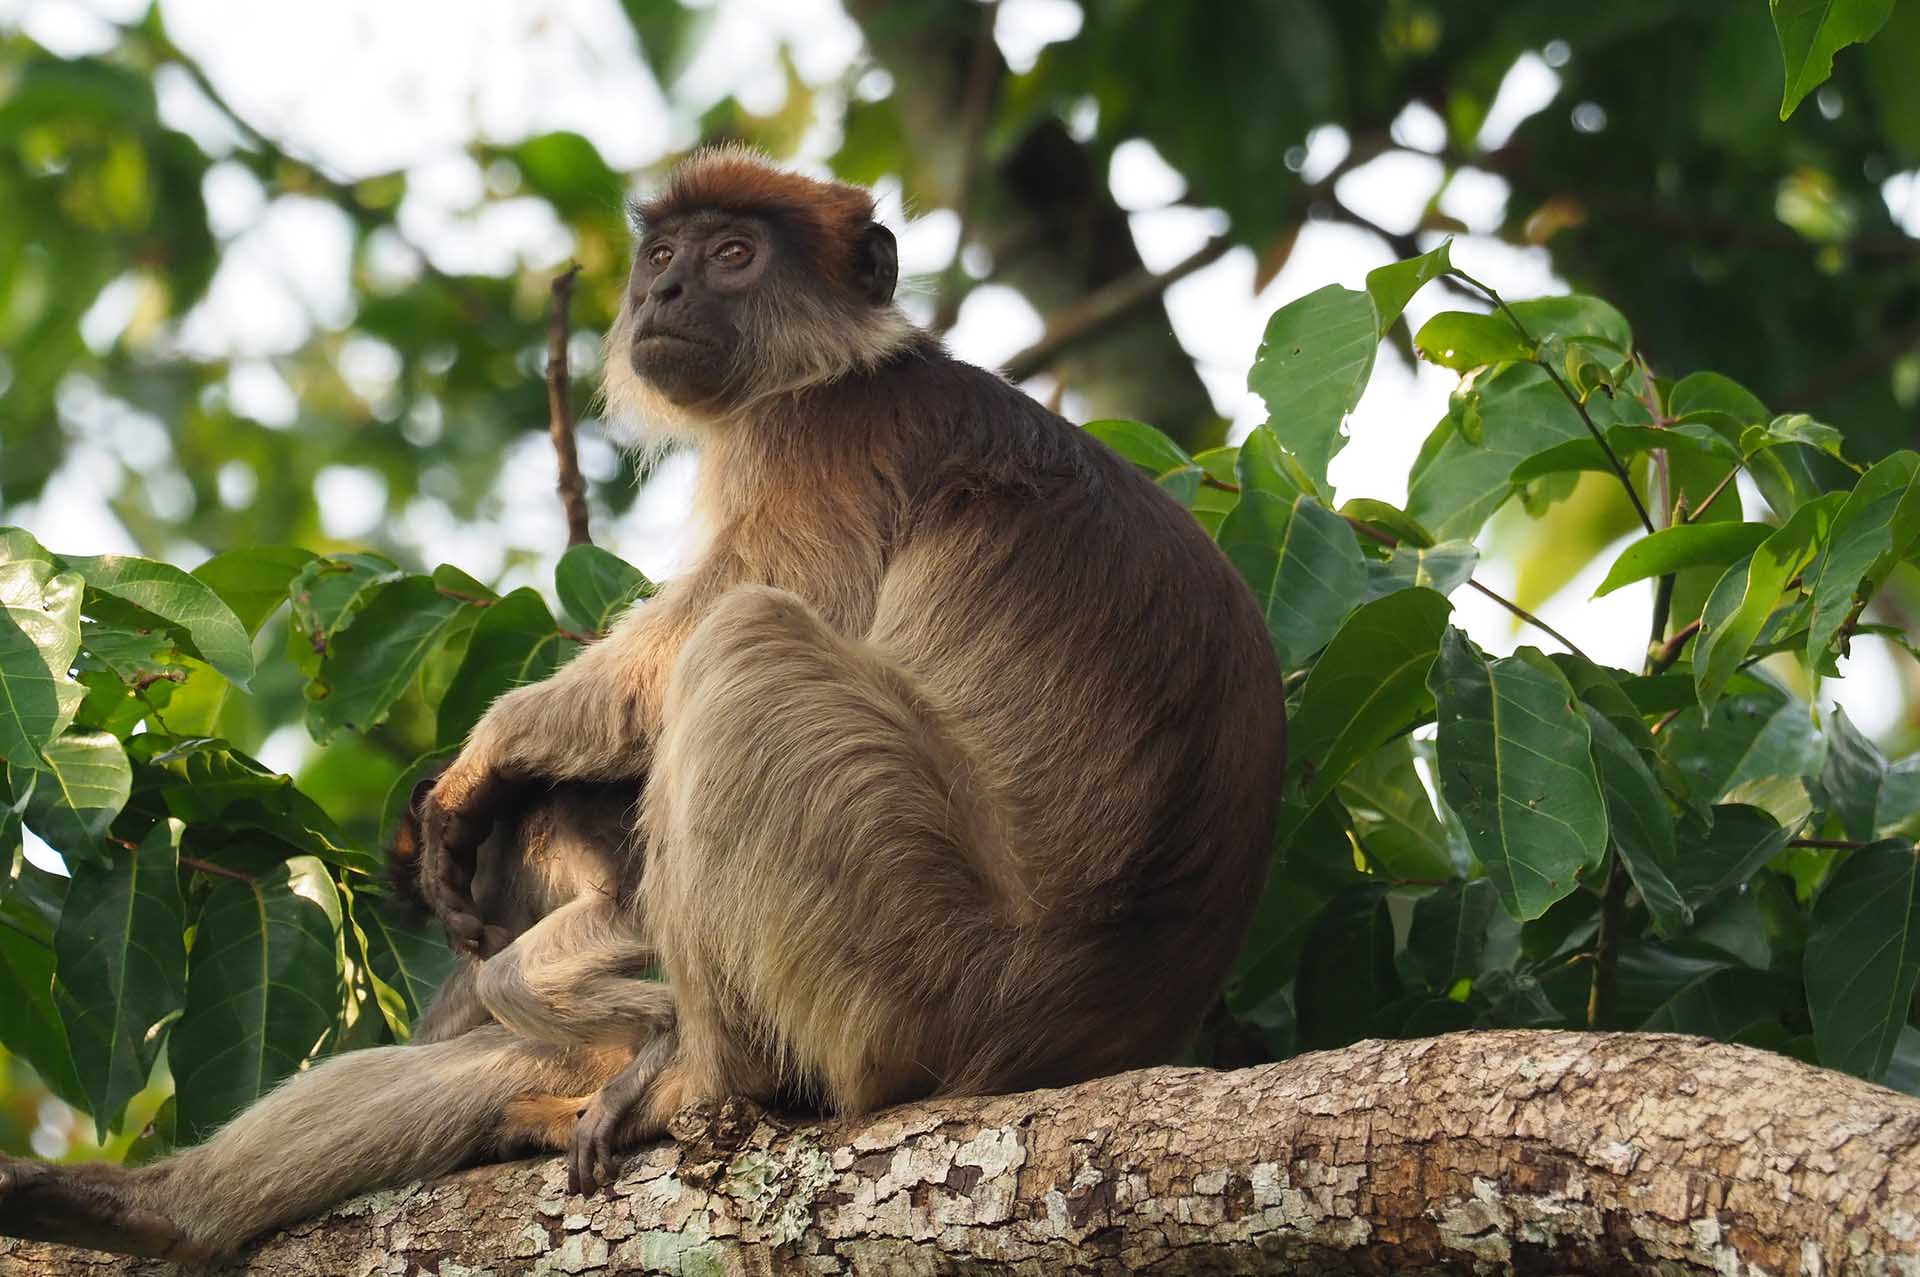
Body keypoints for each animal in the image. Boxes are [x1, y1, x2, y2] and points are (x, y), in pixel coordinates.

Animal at [0, 146, 1285, 1261]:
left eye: (734, 255)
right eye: (662, 254)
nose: (663, 287)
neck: (838, 366)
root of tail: (1073, 1034)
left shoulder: (817, 442)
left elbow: (728, 615)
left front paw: (486, 759)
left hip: (923, 969)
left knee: (749, 642)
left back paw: (708, 1080)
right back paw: (156, 1210)